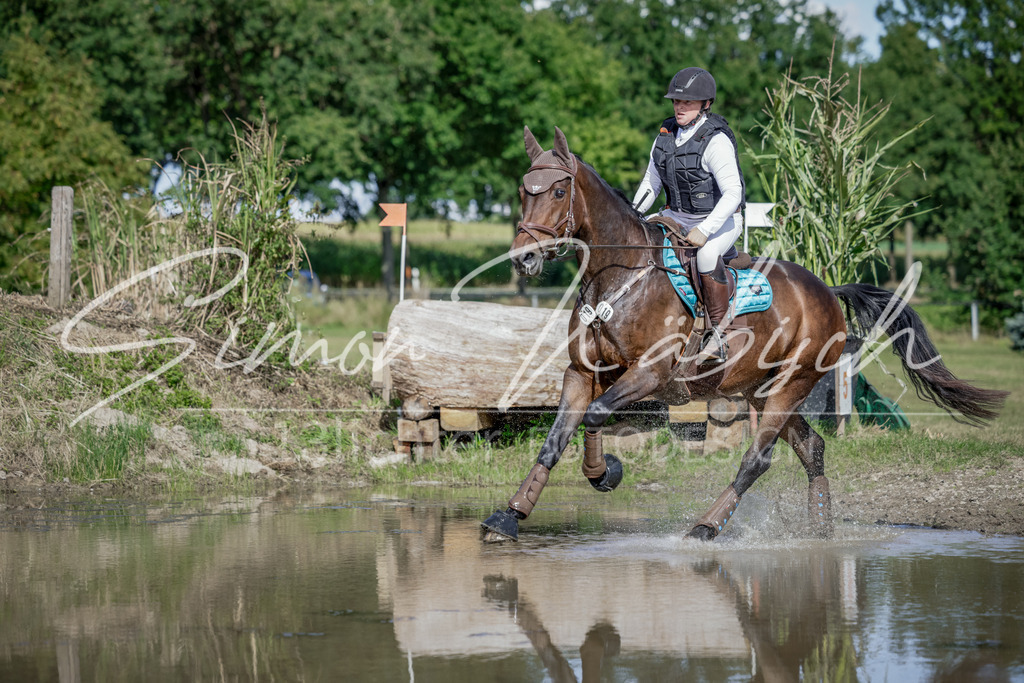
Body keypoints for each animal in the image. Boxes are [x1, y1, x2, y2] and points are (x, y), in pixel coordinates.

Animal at [481, 126, 1007, 543]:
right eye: (524, 191)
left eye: (556, 192)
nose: (523, 258)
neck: (618, 277)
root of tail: (826, 289)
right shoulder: (581, 371)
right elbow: (557, 438)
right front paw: (511, 516)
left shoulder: (650, 373)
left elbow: (594, 416)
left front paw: (604, 472)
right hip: (763, 390)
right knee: (812, 449)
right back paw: (819, 529)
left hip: (791, 385)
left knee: (757, 459)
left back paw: (706, 527)